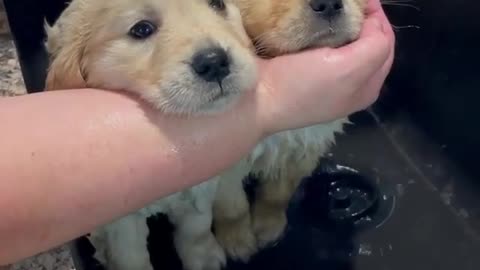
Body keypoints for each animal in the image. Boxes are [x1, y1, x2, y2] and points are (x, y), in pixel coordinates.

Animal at [44, 0, 258, 270]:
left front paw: (204, 258)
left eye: (218, 4)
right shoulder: (122, 222)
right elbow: (130, 256)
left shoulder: (201, 189)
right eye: (142, 29)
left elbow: (195, 230)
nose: (214, 61)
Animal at [213, 0, 368, 262]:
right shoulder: (221, 170)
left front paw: (269, 227)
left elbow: (277, 195)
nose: (328, 3)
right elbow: (231, 207)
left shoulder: (304, 148)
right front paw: (237, 241)